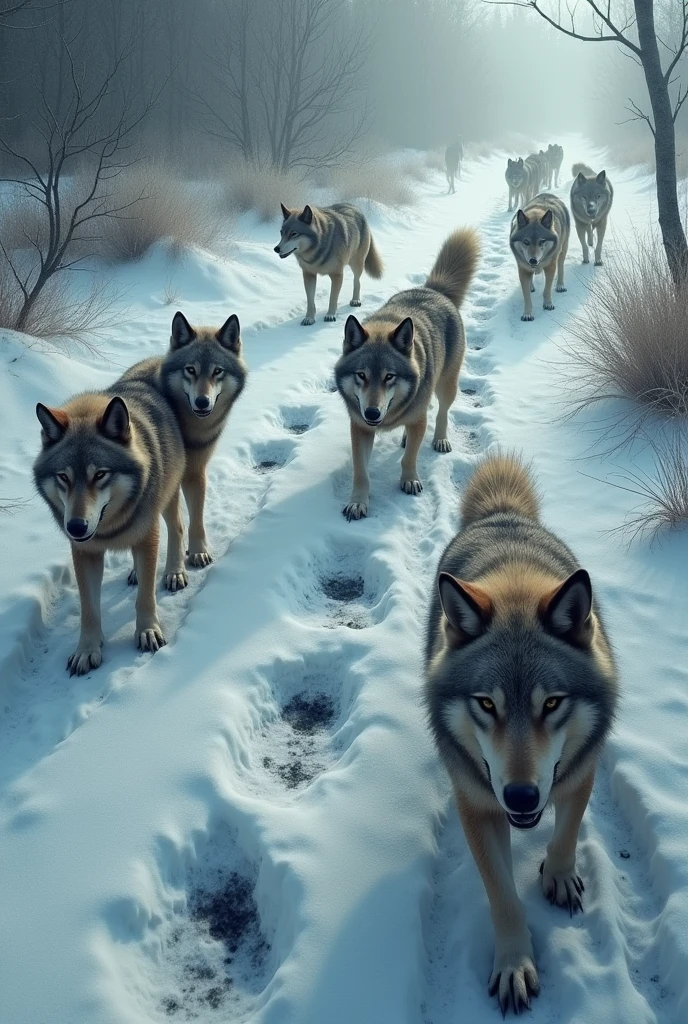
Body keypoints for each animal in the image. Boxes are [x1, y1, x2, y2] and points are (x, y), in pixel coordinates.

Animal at [34, 380, 186, 675]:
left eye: (100, 474)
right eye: (64, 477)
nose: (76, 527)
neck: (111, 528)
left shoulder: (147, 534)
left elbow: (145, 597)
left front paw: (147, 631)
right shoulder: (85, 553)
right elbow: (89, 609)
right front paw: (86, 650)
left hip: (168, 499)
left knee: (177, 529)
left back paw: (175, 572)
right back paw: (137, 572)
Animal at [125, 311, 247, 581]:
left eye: (217, 372)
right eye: (190, 370)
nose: (202, 402)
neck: (190, 430)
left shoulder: (195, 472)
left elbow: (197, 518)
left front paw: (199, 551)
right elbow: (176, 526)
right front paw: (174, 570)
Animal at [335, 228, 480, 521]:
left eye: (389, 376)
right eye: (361, 375)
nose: (372, 413)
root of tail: (434, 289)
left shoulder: (414, 420)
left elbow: (410, 457)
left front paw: (410, 480)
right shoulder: (359, 428)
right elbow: (360, 472)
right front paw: (358, 502)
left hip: (446, 386)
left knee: (441, 412)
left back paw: (440, 440)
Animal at [424, 452, 618, 1015]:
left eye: (551, 703)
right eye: (487, 704)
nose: (522, 796)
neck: (514, 581)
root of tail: (502, 513)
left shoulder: (580, 770)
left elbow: (568, 832)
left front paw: (558, 875)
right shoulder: (477, 803)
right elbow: (503, 898)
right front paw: (515, 966)